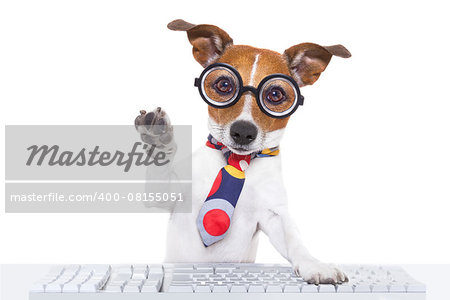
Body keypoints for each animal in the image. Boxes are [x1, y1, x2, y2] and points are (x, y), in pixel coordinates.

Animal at [134, 19, 352, 284]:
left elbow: (294, 240)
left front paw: (314, 264)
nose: (243, 132)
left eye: (276, 94)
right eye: (224, 84)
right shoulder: (168, 196)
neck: (237, 162)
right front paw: (159, 137)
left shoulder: (273, 215)